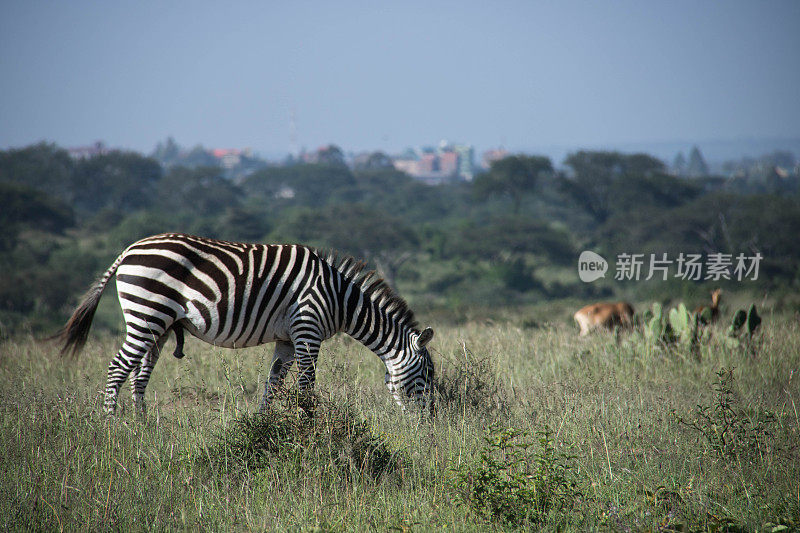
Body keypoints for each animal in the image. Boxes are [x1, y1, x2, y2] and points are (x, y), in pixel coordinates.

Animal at [53, 235, 434, 414]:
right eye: (427, 376)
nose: (429, 424)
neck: (338, 297)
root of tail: (130, 249)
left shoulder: (287, 340)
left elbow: (272, 386)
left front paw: (265, 429)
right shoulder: (307, 331)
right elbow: (306, 387)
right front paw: (310, 428)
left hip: (158, 323)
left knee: (139, 376)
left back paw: (142, 430)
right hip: (147, 312)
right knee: (118, 368)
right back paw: (112, 429)